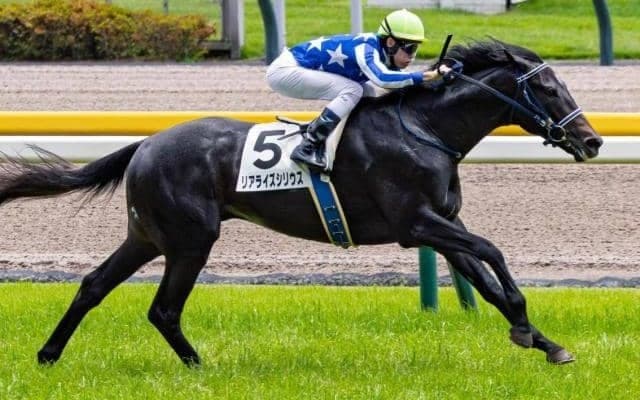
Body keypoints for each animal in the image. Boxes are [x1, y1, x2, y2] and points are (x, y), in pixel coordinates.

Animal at [0, 39, 602, 366]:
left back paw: (49, 355)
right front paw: (528, 330)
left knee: (93, 285)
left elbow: (488, 284)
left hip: (147, 235)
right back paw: (200, 367)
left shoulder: (441, 225)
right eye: (549, 89)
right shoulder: (417, 224)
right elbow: (494, 254)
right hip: (190, 239)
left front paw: (546, 342)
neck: (426, 127)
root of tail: (146, 143)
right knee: (163, 308)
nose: (593, 140)